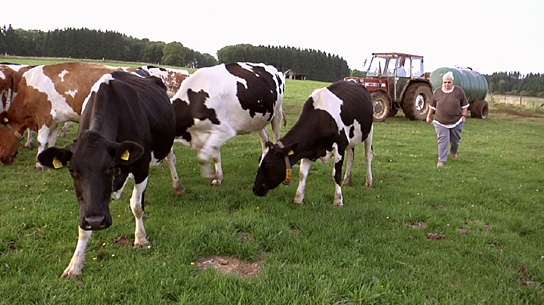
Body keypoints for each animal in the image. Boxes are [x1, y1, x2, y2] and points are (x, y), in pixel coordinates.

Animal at [37, 69, 176, 278]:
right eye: (71, 170)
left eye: (109, 167)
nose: (96, 221)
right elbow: (83, 226)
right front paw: (75, 264)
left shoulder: (142, 166)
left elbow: (136, 206)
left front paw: (140, 238)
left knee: (171, 159)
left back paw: (178, 186)